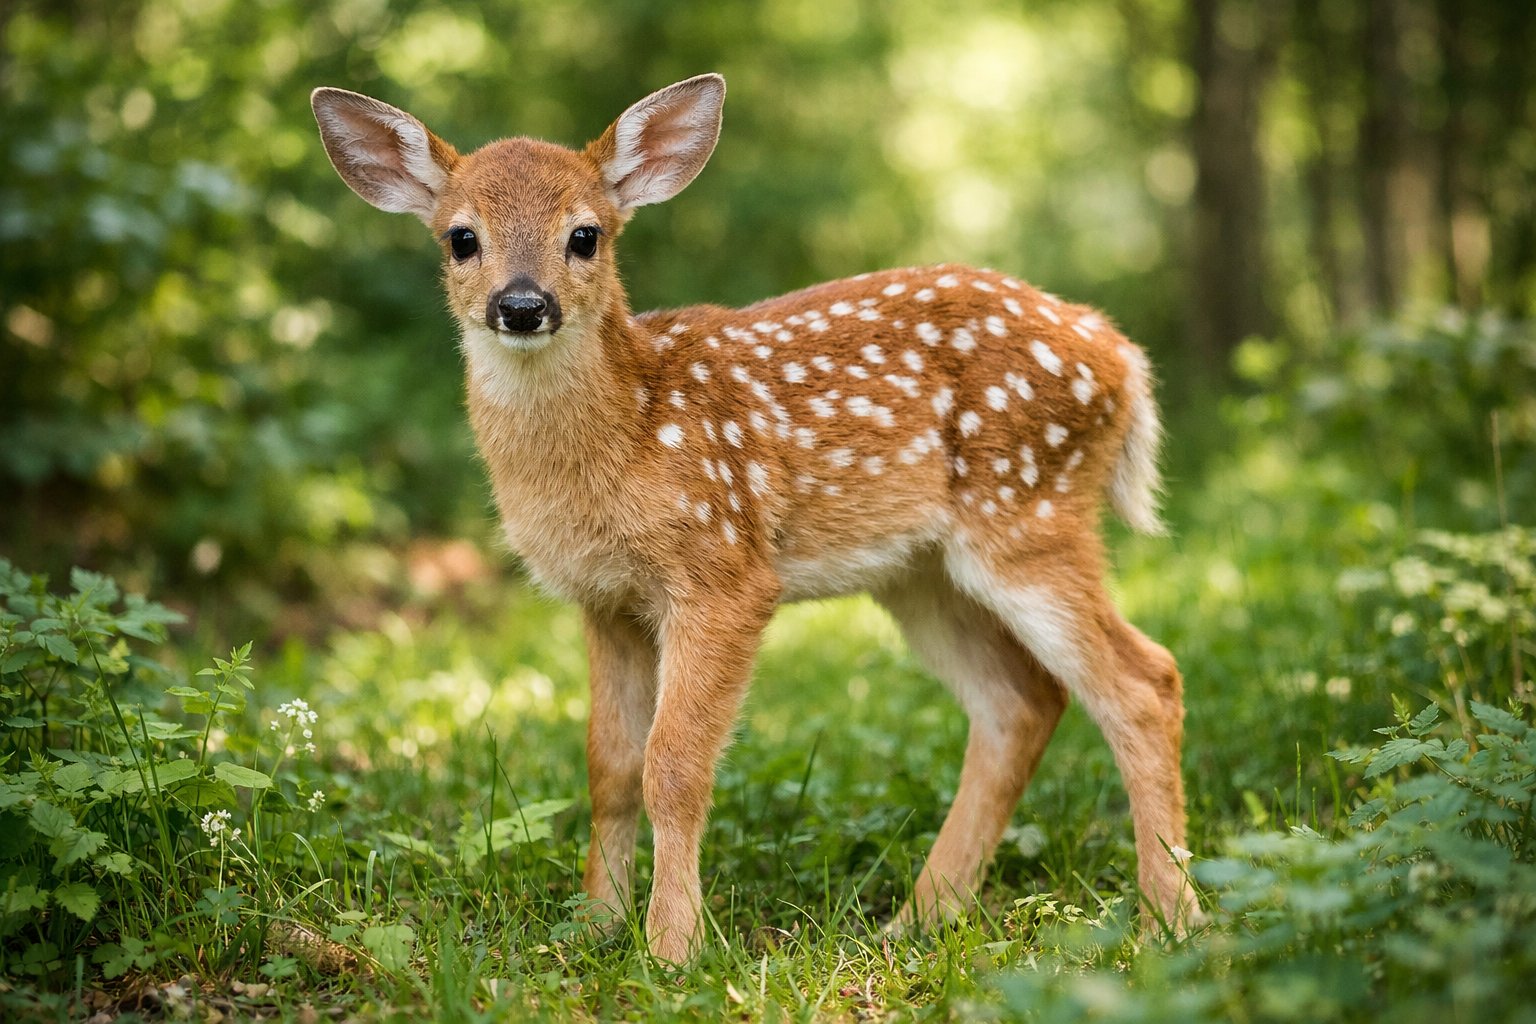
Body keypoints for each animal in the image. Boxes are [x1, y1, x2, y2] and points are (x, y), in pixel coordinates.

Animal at [311, 73, 1199, 964]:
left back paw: (1171, 917)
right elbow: (609, 768)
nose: (523, 305)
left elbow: (674, 767)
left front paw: (672, 948)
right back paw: (916, 920)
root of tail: (1123, 356)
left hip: (1028, 512)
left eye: (586, 235)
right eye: (461, 238)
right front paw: (594, 929)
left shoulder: (724, 571)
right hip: (920, 571)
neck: (628, 434)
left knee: (1144, 679)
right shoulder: (605, 600)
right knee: (1020, 702)